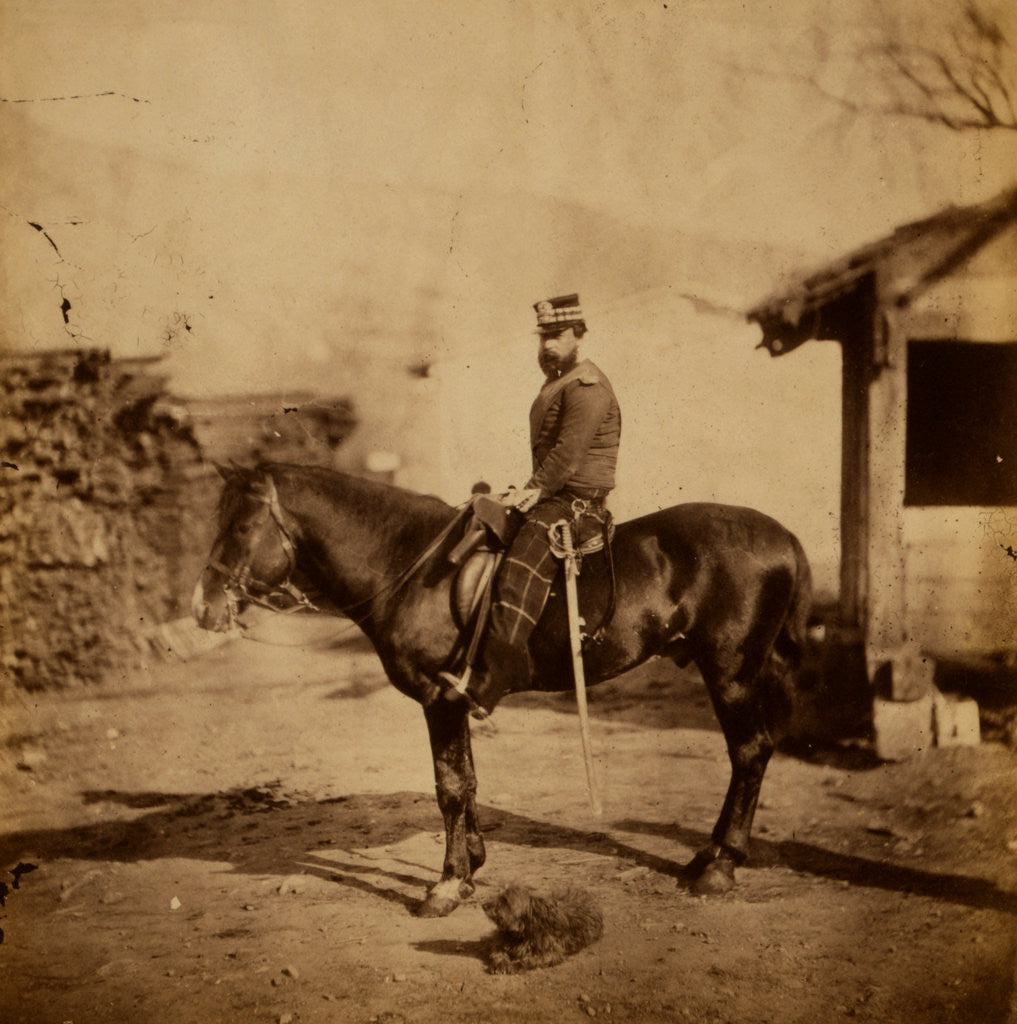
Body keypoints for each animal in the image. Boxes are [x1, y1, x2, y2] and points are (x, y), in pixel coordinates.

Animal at [190, 460, 811, 917]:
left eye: (240, 527)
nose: (202, 608)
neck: (407, 562)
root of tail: (784, 536)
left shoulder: (438, 700)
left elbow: (449, 787)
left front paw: (446, 885)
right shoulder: (453, 700)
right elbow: (465, 780)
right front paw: (470, 867)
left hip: (731, 672)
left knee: (749, 753)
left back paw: (720, 866)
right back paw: (706, 857)